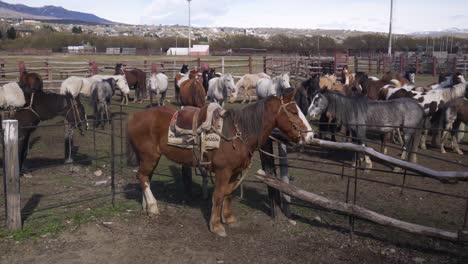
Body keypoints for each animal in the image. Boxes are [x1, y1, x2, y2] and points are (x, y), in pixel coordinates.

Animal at [126, 89, 312, 236]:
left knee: (145, 178)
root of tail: (135, 116)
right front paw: (216, 226)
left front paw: (229, 219)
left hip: (148, 158)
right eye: (294, 112)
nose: (310, 136)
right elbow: (218, 195)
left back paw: (147, 207)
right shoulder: (223, 171)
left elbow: (228, 194)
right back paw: (153, 206)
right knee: (142, 177)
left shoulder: (234, 172)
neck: (239, 133)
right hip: (150, 157)